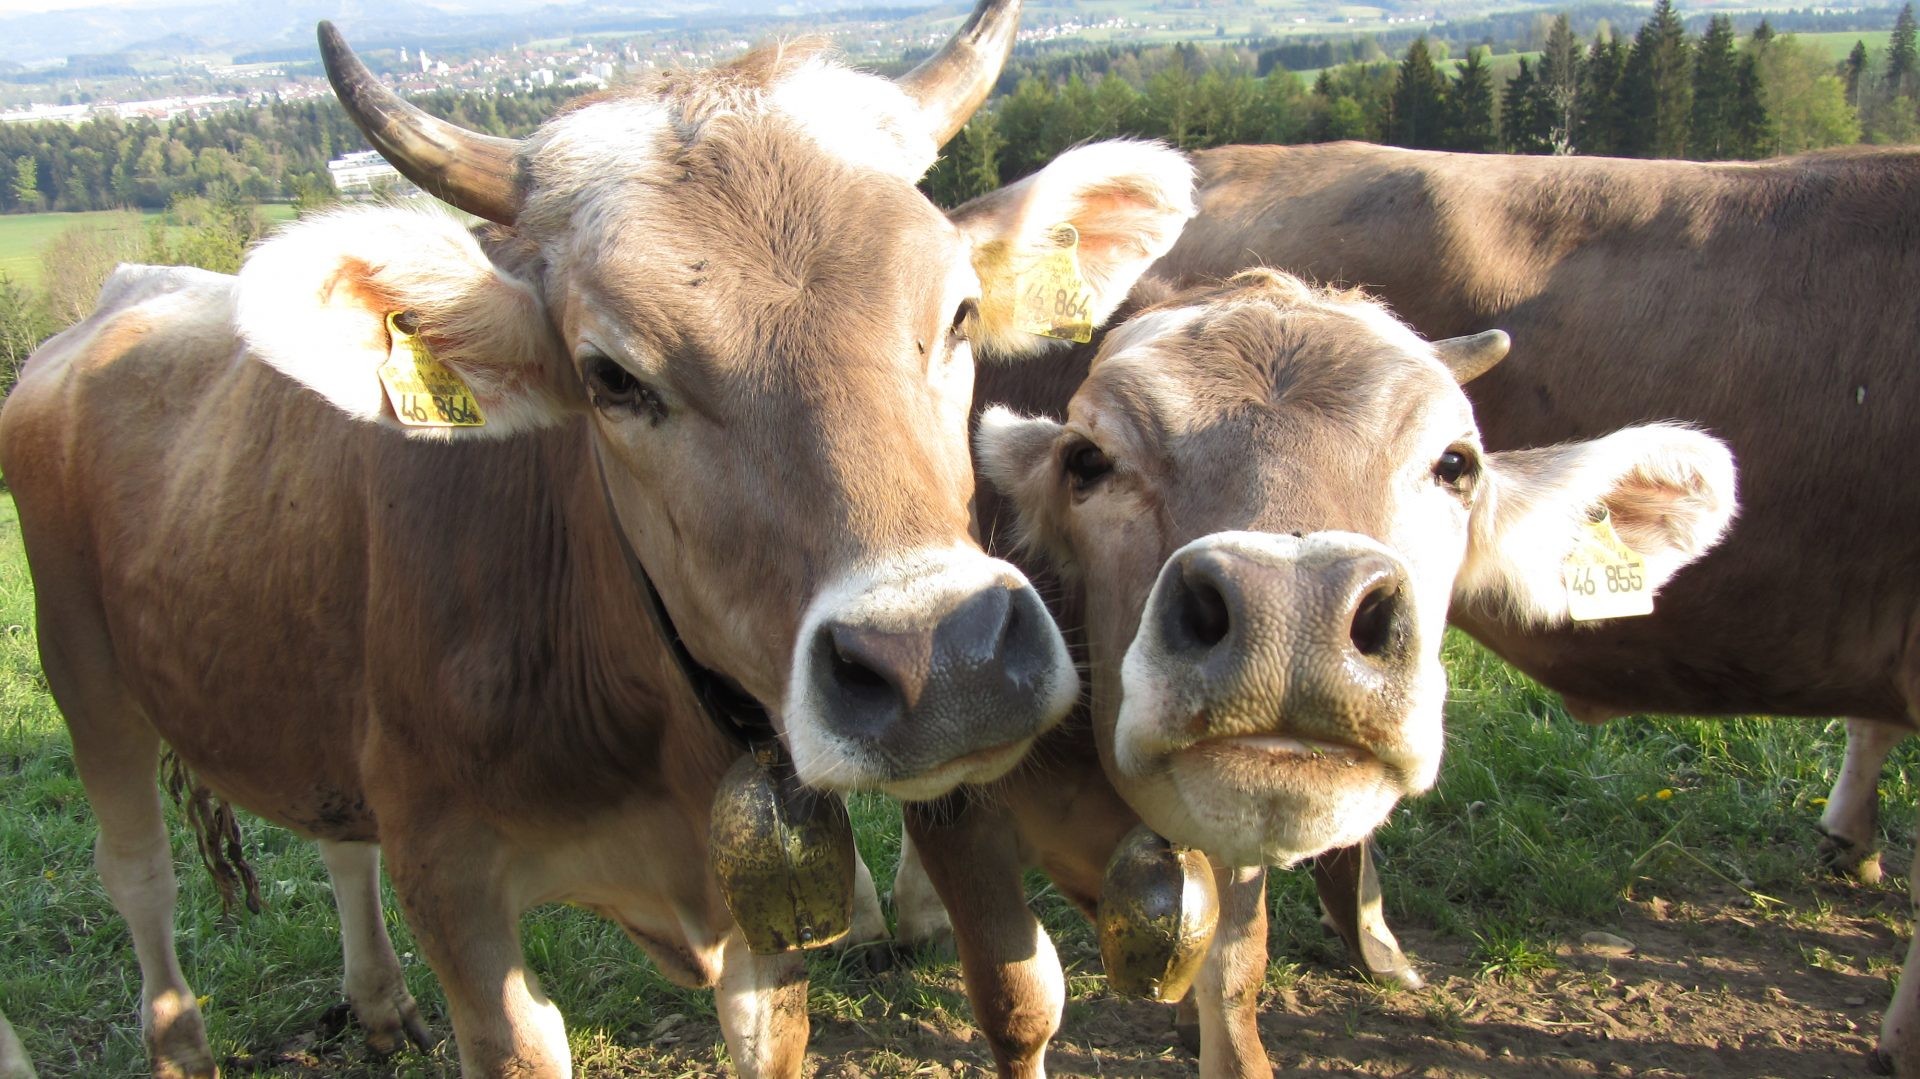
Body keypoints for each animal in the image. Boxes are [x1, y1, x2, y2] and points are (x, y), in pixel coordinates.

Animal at [0, 9, 1204, 1075]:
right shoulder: (450, 878)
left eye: (958, 314)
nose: (940, 663)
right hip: (84, 676)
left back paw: (379, 1004)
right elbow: (518, 1039)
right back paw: (179, 1042)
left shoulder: (744, 908)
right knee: (138, 877)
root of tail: (113, 308)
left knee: (338, 840)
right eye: (611, 377)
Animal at [898, 267, 1735, 1077]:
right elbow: (1018, 999)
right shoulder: (956, 811)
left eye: (1456, 464)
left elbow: (1234, 983)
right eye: (1086, 459)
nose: (1291, 610)